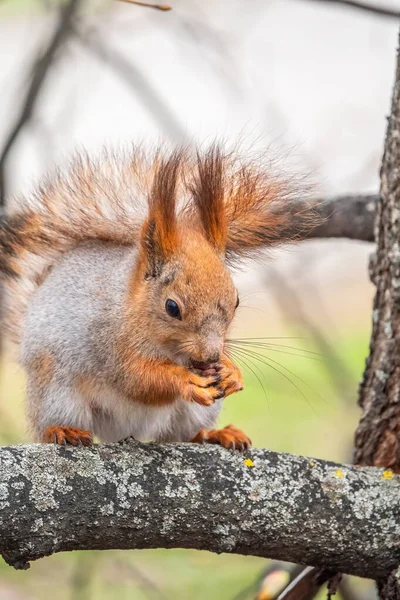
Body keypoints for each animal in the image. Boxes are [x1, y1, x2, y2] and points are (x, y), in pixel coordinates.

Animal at [0, 145, 312, 450]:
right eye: (172, 307)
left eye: (236, 301)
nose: (212, 355)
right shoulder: (108, 345)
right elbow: (138, 380)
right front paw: (184, 380)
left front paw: (231, 372)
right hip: (57, 393)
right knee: (50, 425)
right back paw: (63, 430)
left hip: (193, 413)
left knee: (184, 435)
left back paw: (217, 434)